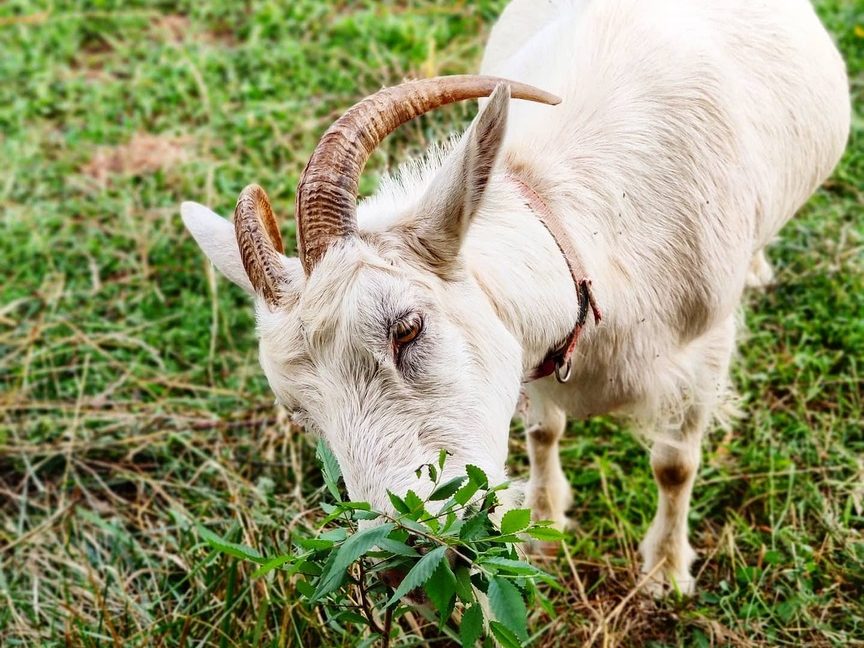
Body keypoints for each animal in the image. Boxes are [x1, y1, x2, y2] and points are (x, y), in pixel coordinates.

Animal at [182, 0, 852, 596]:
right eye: (299, 410)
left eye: (407, 328)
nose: (402, 565)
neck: (584, 234)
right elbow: (542, 431)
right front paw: (545, 523)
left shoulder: (707, 347)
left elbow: (674, 465)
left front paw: (665, 571)